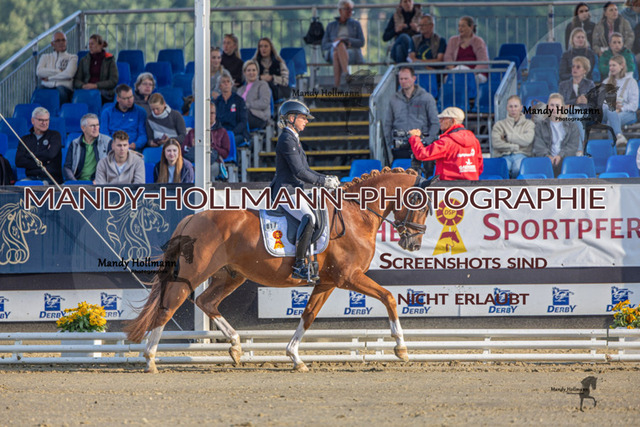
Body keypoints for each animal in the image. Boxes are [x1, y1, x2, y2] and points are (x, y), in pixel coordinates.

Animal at [125, 167, 433, 373]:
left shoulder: (327, 282)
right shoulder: (349, 277)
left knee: (205, 301)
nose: (414, 243)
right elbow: (389, 297)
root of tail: (192, 218)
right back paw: (150, 358)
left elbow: (308, 315)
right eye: (419, 202)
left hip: (231, 275)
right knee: (170, 305)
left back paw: (235, 346)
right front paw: (401, 348)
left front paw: (295, 357)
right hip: (195, 273)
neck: (356, 215)